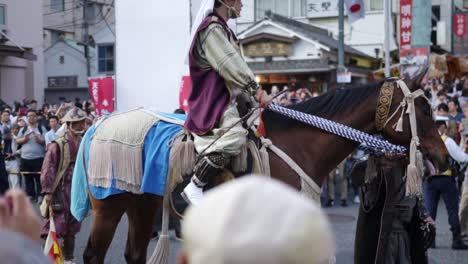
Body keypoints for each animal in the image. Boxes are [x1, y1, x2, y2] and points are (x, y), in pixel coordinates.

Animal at [81, 75, 450, 262]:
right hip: (109, 207)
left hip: (140, 205)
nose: (444, 158)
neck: (300, 144)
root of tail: (99, 124)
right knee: (94, 255)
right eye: (424, 109)